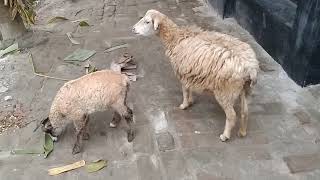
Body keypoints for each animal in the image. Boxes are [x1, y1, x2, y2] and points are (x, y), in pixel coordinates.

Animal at [132, 9, 260, 141]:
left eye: (147, 22)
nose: (133, 29)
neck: (175, 38)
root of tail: (250, 68)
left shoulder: (182, 71)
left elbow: (185, 90)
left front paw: (184, 105)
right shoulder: (190, 72)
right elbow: (189, 87)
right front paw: (191, 101)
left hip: (226, 91)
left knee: (232, 115)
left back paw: (225, 135)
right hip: (245, 89)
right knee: (245, 112)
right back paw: (242, 132)